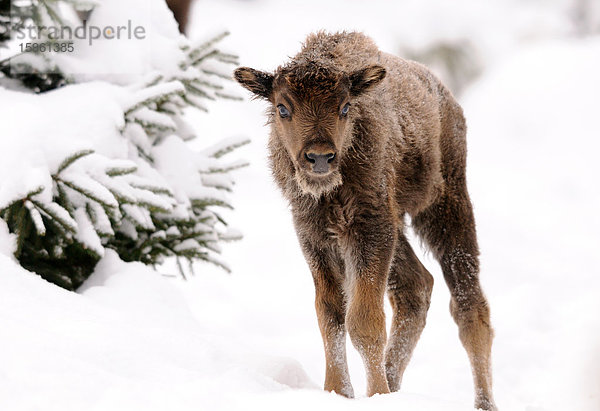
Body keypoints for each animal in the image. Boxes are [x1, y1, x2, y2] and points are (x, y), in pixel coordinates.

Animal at [234, 30, 496, 410]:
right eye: (283, 108)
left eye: (345, 107)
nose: (320, 158)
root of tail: (446, 99)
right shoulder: (316, 237)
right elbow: (330, 316)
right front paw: (338, 392)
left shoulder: (370, 230)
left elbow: (363, 321)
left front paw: (375, 394)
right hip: (399, 232)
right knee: (416, 286)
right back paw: (394, 382)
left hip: (444, 206)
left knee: (469, 307)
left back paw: (480, 402)